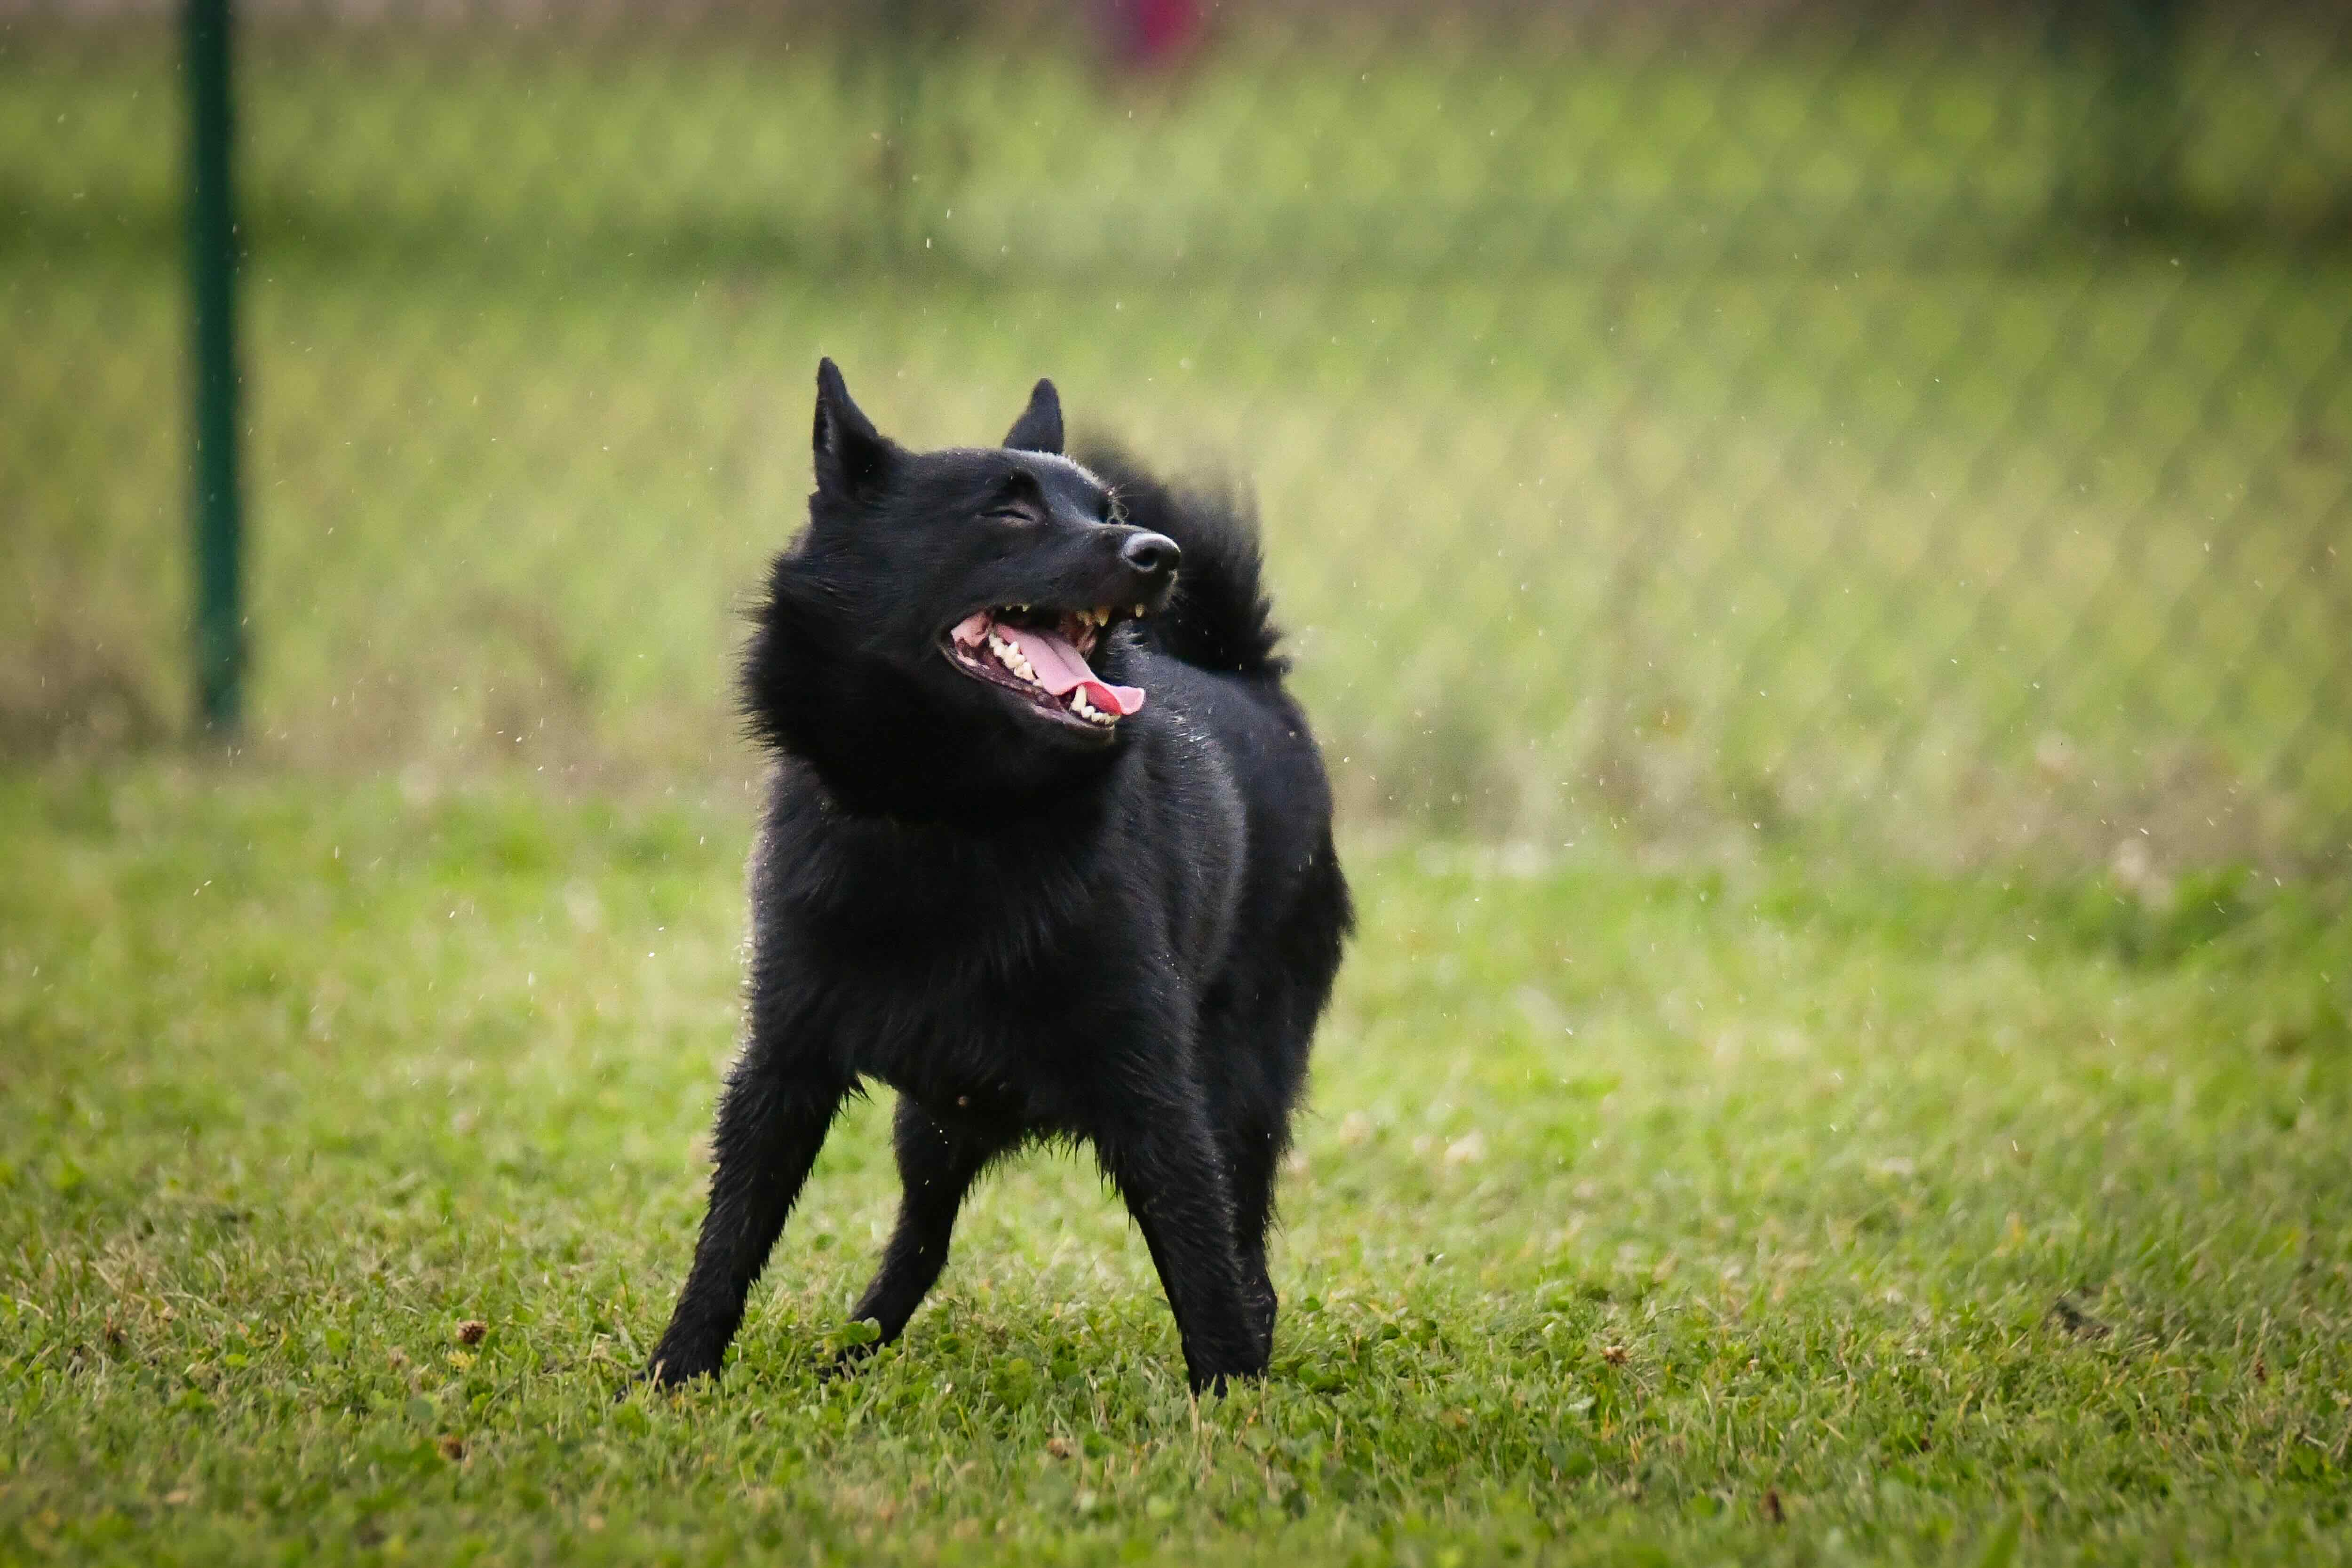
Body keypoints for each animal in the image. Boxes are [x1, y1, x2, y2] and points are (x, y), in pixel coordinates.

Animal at [644, 362, 1355, 1392]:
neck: (958, 823)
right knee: (920, 1241)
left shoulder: (1157, 1093)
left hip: (1241, 1088)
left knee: (1249, 1259)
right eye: (1007, 511)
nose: (1160, 553)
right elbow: (729, 1238)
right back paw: (849, 1354)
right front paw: (673, 1378)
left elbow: (1202, 1264)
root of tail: (1243, 671)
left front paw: (1226, 1402)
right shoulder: (784, 1065)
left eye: (1104, 509)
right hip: (935, 1124)